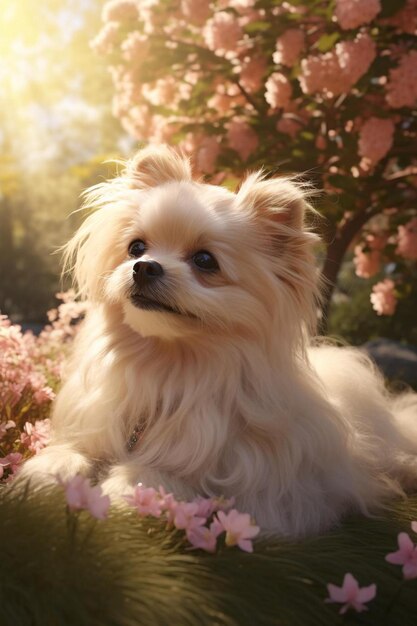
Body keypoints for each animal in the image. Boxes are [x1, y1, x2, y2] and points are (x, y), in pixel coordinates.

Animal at [20, 145, 417, 532]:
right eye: (136, 248)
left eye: (205, 260)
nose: (144, 267)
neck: (167, 365)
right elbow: (71, 453)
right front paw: (45, 475)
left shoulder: (260, 489)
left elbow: (165, 475)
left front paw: (126, 490)